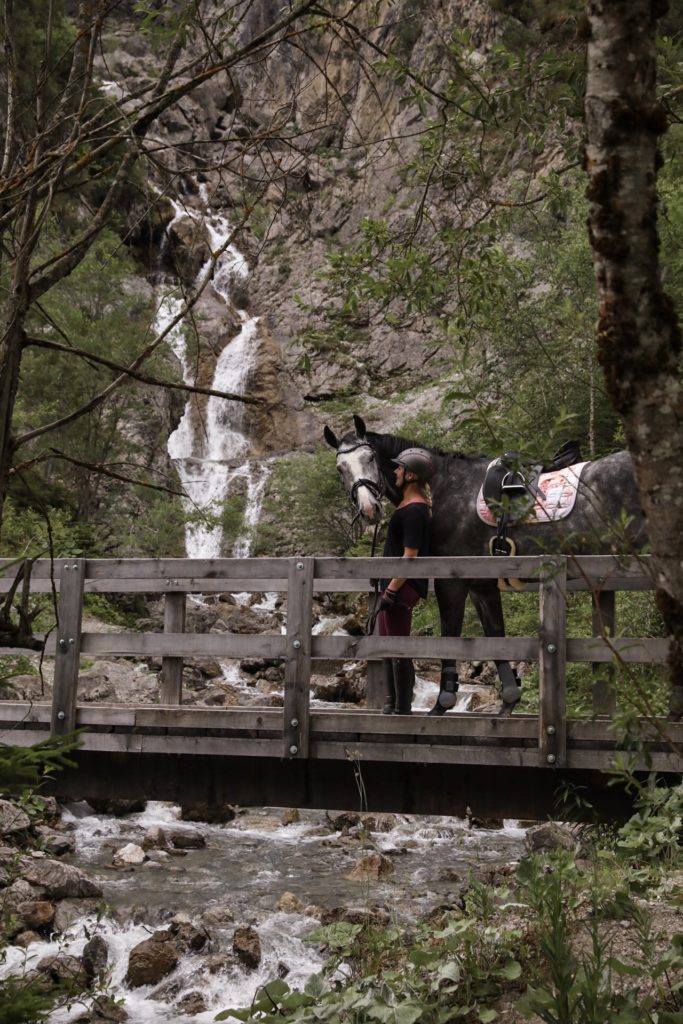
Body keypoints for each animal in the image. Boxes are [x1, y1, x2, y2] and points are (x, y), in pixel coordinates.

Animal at [325, 413, 647, 712]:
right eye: (340, 469)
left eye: (369, 457)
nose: (369, 509)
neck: (444, 485)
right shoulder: (482, 585)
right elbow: (496, 637)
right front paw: (509, 701)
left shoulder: (451, 582)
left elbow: (450, 637)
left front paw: (442, 704)